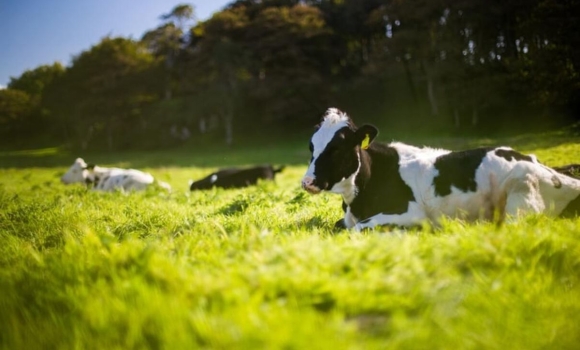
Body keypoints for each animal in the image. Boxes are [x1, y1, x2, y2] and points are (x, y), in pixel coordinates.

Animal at [302, 108, 580, 231]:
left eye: (337, 147)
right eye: (311, 145)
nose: (307, 182)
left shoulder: (410, 212)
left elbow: (358, 228)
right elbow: (342, 225)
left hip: (521, 196)